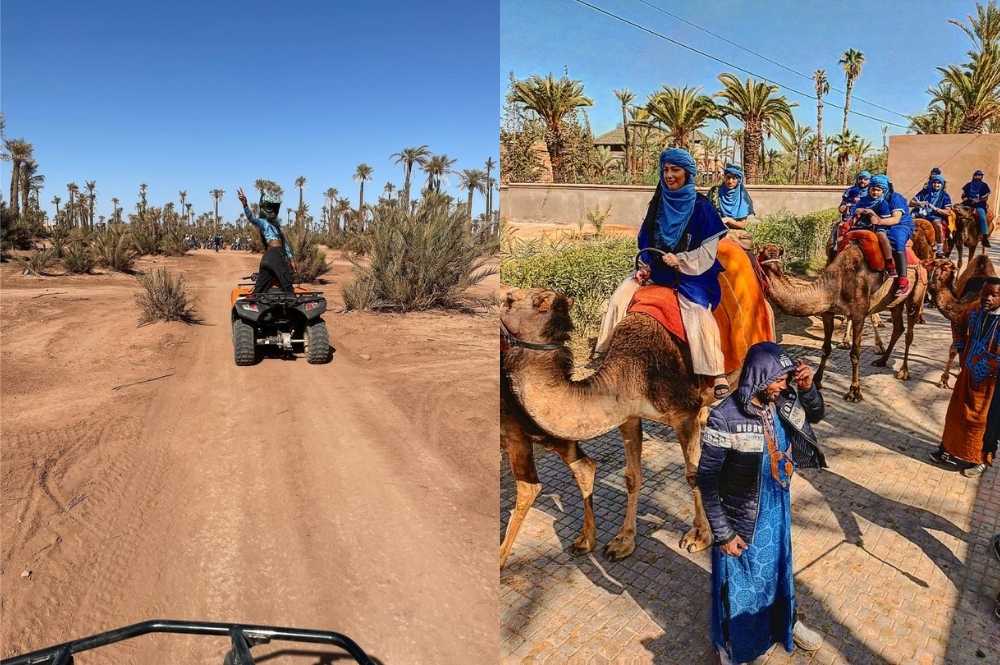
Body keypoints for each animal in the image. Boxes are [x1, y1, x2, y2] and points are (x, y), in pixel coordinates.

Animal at [500, 286, 728, 564]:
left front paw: (700, 537)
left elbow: (694, 475)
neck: (635, 367)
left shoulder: (684, 413)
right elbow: (631, 477)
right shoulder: (628, 415)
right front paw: (622, 541)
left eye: (509, 300)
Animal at [756, 243, 928, 402]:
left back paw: (903, 372)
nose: (774, 268)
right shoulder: (827, 312)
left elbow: (855, 353)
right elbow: (825, 348)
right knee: (898, 327)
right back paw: (881, 360)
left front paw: (854, 392)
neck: (836, 282)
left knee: (909, 332)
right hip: (894, 303)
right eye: (763, 254)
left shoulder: (859, 314)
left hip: (917, 293)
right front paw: (817, 380)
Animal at [924, 255, 996, 390]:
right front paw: (944, 380)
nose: (931, 285)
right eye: (931, 267)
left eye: (945, 268)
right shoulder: (956, 322)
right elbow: (955, 348)